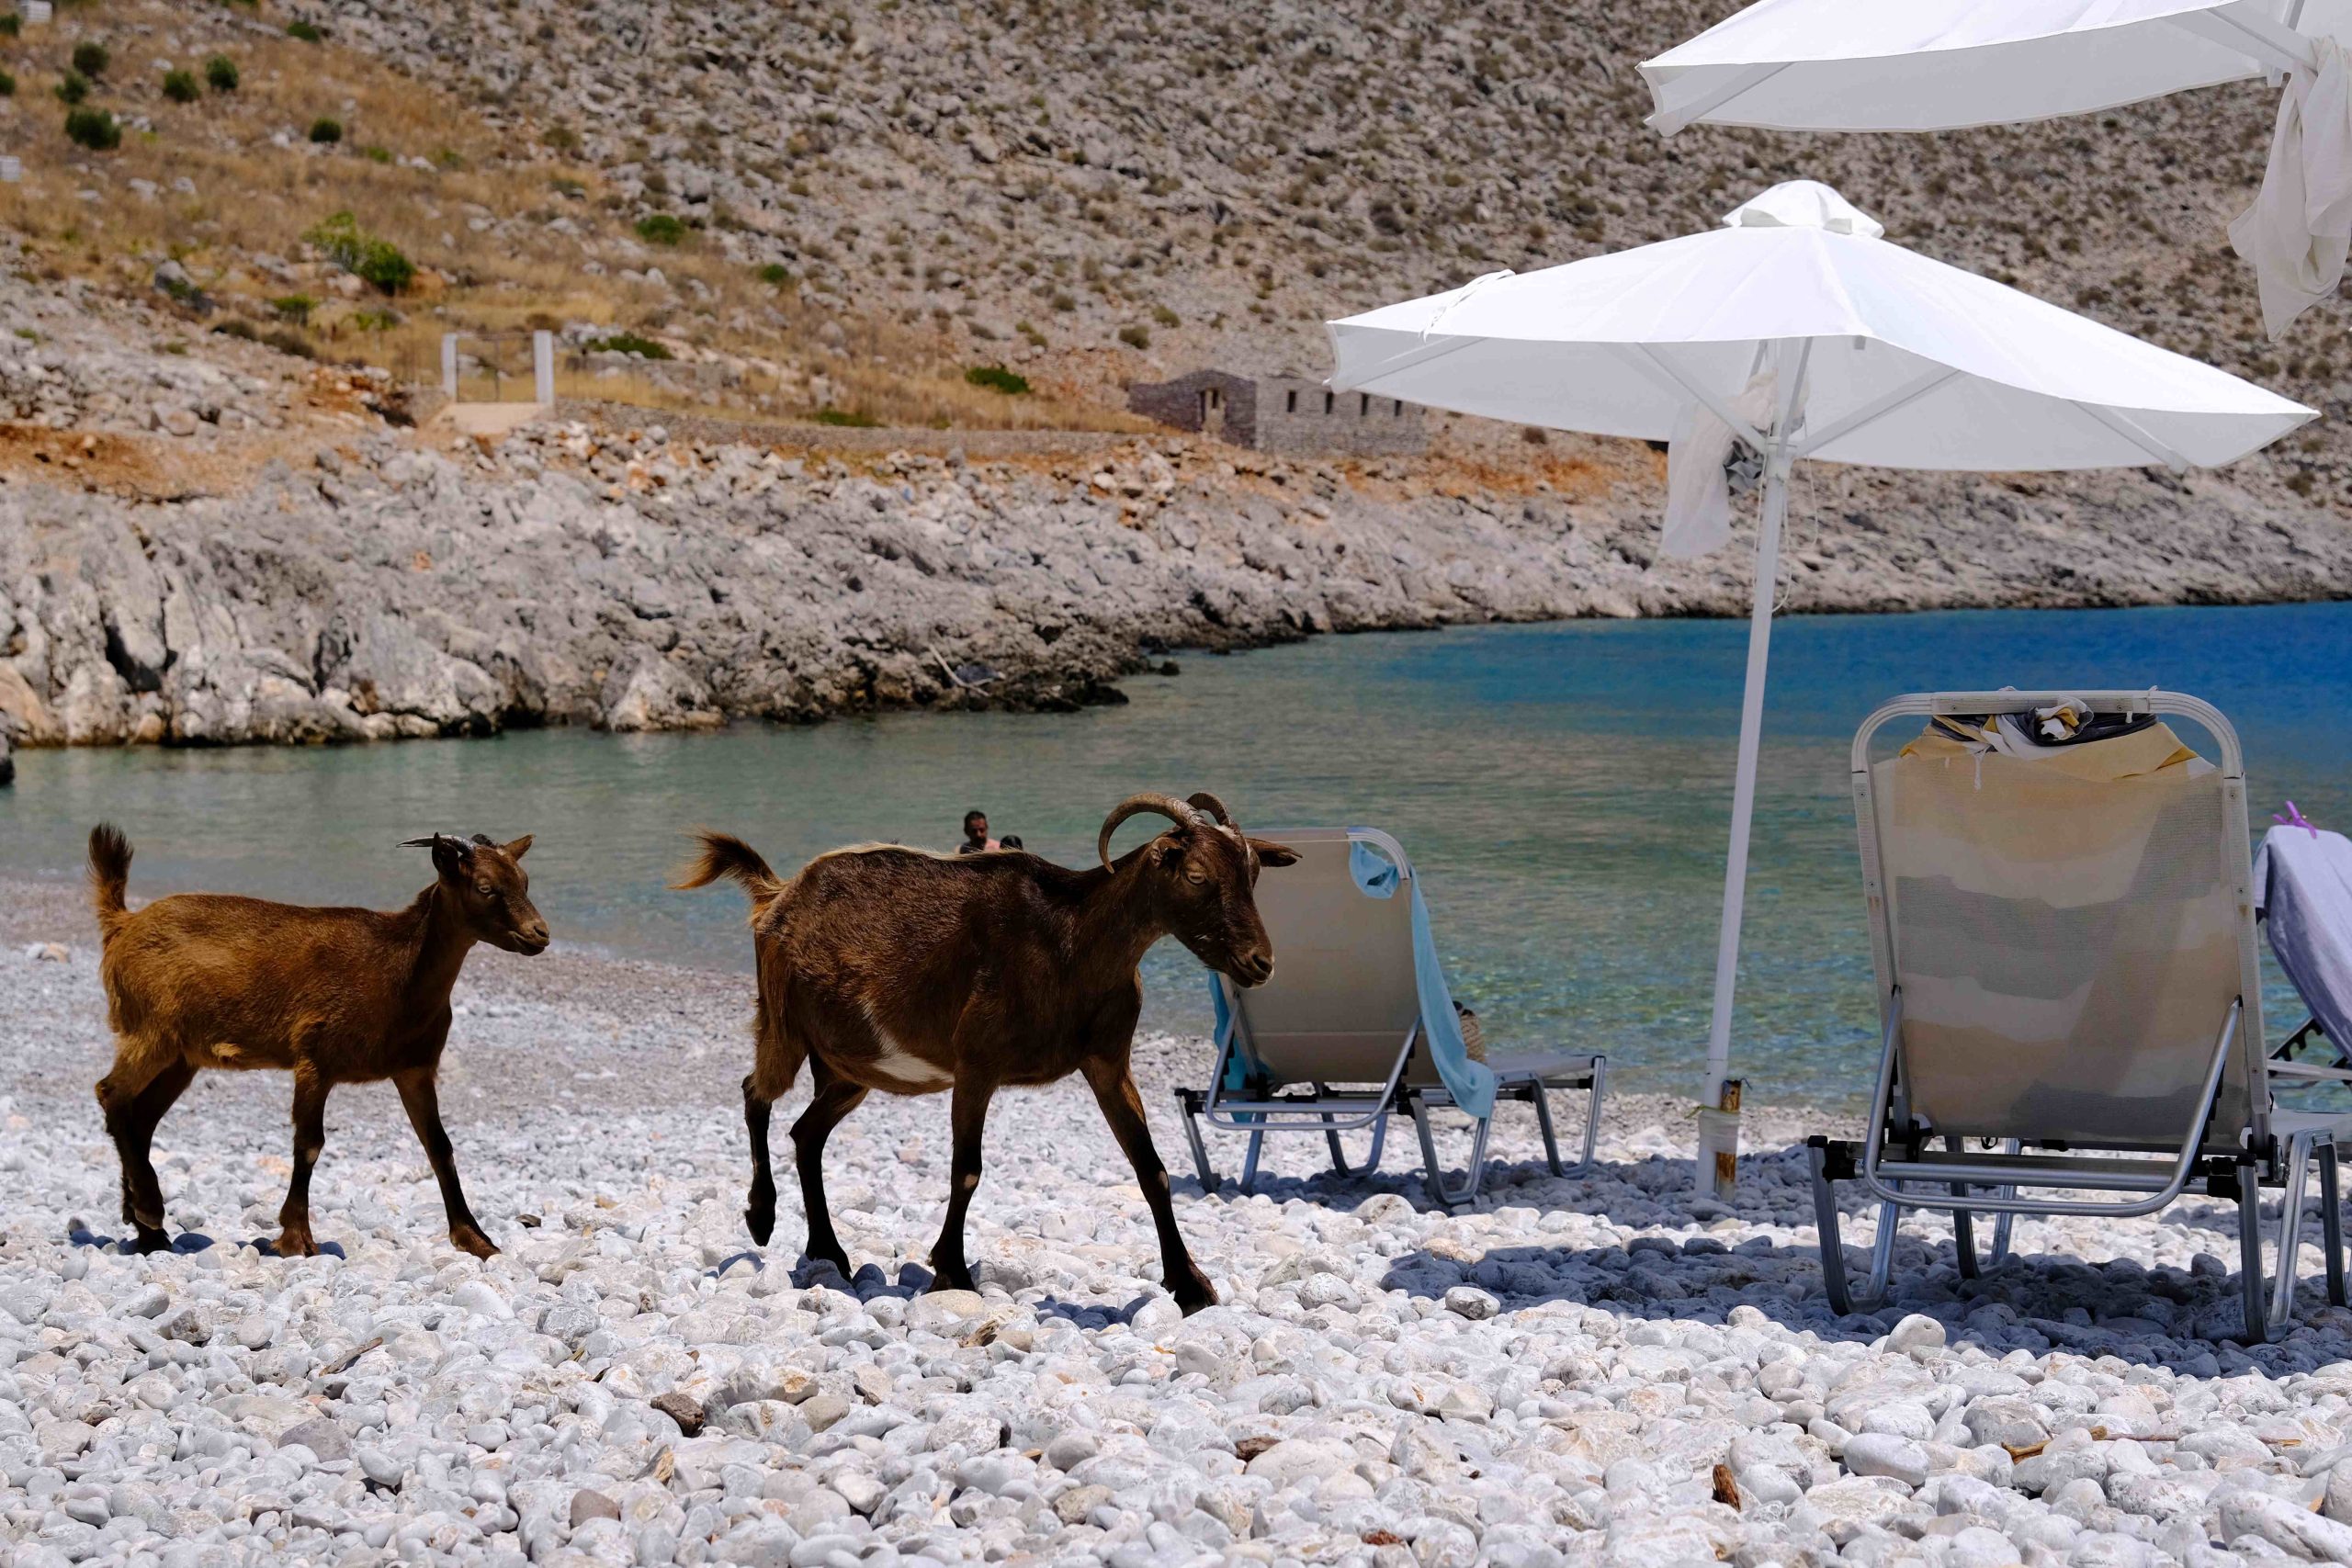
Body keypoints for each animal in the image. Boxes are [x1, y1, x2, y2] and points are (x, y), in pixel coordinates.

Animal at [87, 824, 549, 1259]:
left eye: (525, 881)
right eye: (485, 887)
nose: (540, 933)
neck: (396, 972)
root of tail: (123, 924)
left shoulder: (414, 1068)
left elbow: (439, 1146)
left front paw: (476, 1239)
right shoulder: (315, 1059)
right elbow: (309, 1144)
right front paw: (296, 1238)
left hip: (182, 1057)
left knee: (140, 1117)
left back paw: (147, 1227)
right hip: (152, 1032)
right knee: (111, 1094)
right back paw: (149, 1210)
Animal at [678, 792, 1295, 1315]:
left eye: (1253, 875)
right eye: (1196, 875)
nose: (1260, 963)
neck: (1070, 940)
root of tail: (777, 895)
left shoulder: (1107, 1063)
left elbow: (1153, 1170)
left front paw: (1191, 1284)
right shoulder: (976, 1065)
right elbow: (967, 1170)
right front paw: (951, 1271)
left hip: (850, 1069)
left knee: (807, 1133)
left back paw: (829, 1251)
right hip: (784, 1024)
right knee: (756, 1093)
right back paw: (761, 1216)